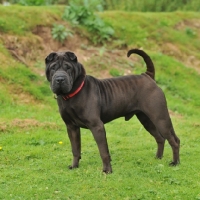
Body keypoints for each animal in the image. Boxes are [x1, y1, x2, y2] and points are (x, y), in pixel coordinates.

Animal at [45, 48, 180, 173]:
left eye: (68, 67)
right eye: (53, 67)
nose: (60, 79)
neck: (72, 94)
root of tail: (147, 76)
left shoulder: (97, 126)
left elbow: (103, 151)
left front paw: (107, 170)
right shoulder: (71, 128)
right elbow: (75, 149)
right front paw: (74, 166)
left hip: (161, 118)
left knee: (174, 140)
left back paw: (175, 163)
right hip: (146, 120)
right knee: (160, 138)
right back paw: (158, 157)